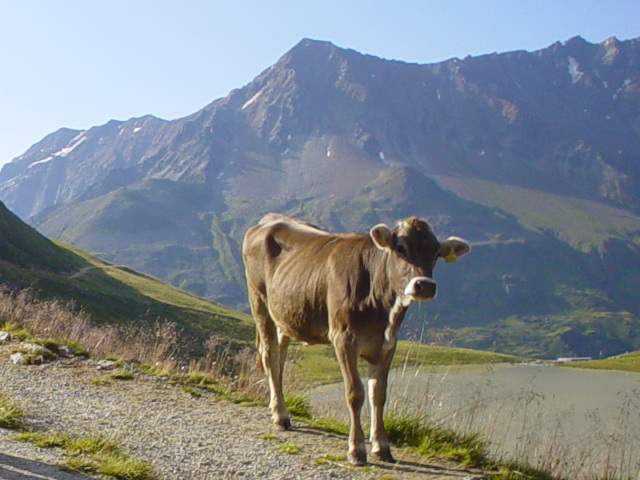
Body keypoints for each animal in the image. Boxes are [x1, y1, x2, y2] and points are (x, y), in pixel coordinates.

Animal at [241, 213, 470, 464]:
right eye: (400, 247)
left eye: (436, 252)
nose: (425, 285)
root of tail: (270, 219)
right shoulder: (343, 338)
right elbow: (355, 393)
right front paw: (357, 449)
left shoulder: (388, 344)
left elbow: (378, 394)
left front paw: (381, 446)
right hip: (259, 302)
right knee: (270, 356)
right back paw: (281, 416)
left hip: (285, 314)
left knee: (280, 359)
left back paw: (278, 408)